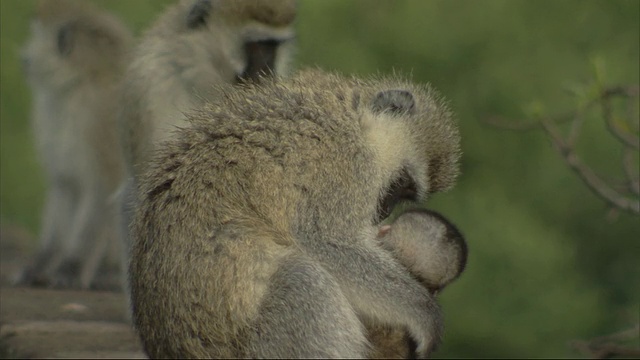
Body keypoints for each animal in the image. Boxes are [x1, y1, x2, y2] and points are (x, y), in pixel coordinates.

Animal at [18, 0, 132, 290]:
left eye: (35, 34)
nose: (24, 58)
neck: (81, 80)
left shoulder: (97, 118)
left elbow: (102, 190)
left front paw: (71, 267)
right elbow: (64, 184)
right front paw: (42, 262)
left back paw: (107, 273)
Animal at [127, 69, 462, 358]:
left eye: (405, 193)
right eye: (401, 183)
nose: (383, 211)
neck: (351, 115)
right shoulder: (343, 163)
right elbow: (326, 243)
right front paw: (424, 313)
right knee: (303, 281)